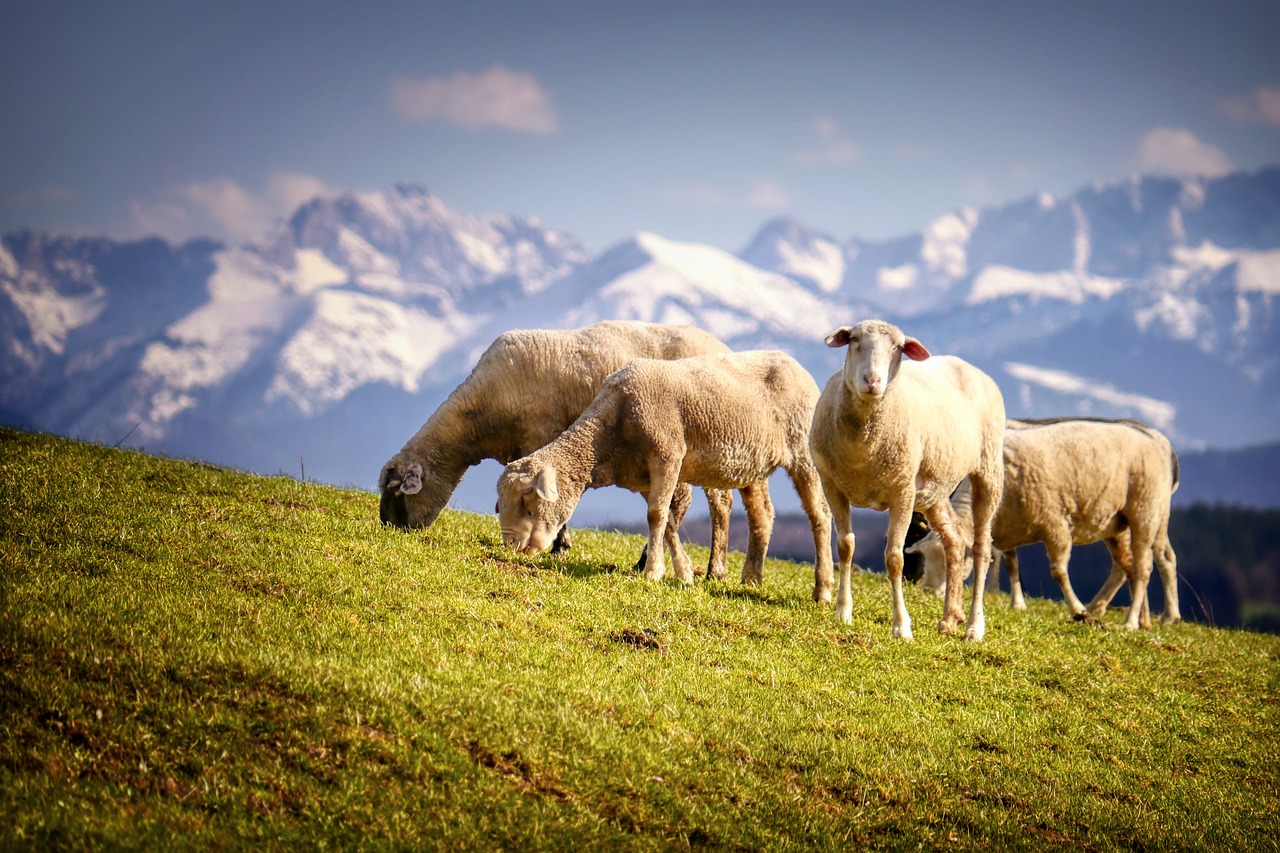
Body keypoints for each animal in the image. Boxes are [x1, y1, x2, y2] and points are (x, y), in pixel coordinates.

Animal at [376, 320, 757, 578]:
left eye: (397, 493)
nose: (389, 529)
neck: (478, 416)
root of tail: (725, 347)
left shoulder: (540, 435)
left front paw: (559, 545)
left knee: (718, 504)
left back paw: (713, 568)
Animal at [488, 348, 829, 594]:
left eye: (528, 497)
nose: (512, 546)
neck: (609, 434)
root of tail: (798, 366)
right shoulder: (642, 473)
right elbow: (666, 521)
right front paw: (683, 572)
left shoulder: (667, 455)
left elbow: (656, 516)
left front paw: (653, 572)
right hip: (751, 461)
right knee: (762, 515)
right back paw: (751, 579)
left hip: (803, 452)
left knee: (820, 515)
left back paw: (822, 591)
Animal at [808, 318, 1008, 637]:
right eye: (854, 340)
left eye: (897, 348)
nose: (872, 381)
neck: (862, 448)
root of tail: (967, 365)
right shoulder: (832, 485)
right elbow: (845, 546)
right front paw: (843, 612)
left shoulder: (902, 493)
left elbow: (895, 558)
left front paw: (901, 626)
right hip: (934, 487)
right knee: (954, 541)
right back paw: (950, 618)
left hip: (988, 470)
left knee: (980, 548)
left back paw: (974, 627)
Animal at [906, 414, 1182, 627]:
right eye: (925, 558)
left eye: (947, 562)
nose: (928, 591)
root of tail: (1156, 442)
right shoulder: (1007, 527)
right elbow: (1012, 564)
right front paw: (1018, 603)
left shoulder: (1055, 524)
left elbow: (1058, 571)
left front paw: (1077, 609)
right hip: (1118, 522)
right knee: (1128, 566)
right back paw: (1139, 618)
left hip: (1147, 513)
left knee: (1150, 565)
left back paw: (1139, 620)